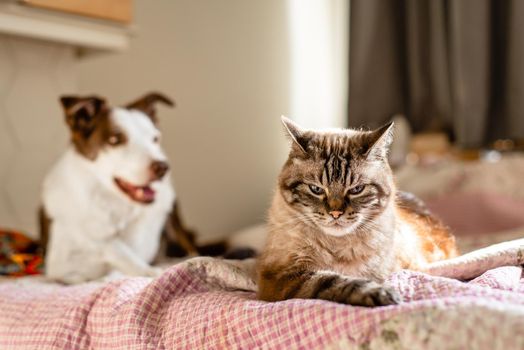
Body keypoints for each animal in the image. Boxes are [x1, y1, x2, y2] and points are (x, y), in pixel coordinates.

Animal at [39, 93, 194, 284]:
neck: (117, 205)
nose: (163, 168)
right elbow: (111, 250)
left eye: (155, 138)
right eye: (115, 140)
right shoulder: (60, 268)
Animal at [258, 117, 458, 306]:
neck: (337, 245)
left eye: (356, 189)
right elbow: (335, 280)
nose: (335, 213)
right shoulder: (281, 278)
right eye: (316, 189)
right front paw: (380, 293)